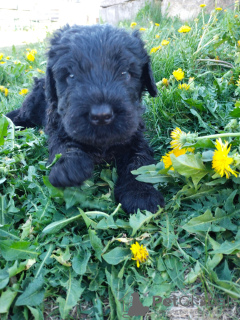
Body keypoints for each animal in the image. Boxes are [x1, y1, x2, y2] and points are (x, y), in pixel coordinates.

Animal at [6, 24, 164, 212]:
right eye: (71, 76)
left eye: (125, 73)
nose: (101, 115)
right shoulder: (59, 124)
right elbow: (63, 144)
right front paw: (69, 166)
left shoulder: (134, 133)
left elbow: (139, 160)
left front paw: (141, 193)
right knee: (22, 115)